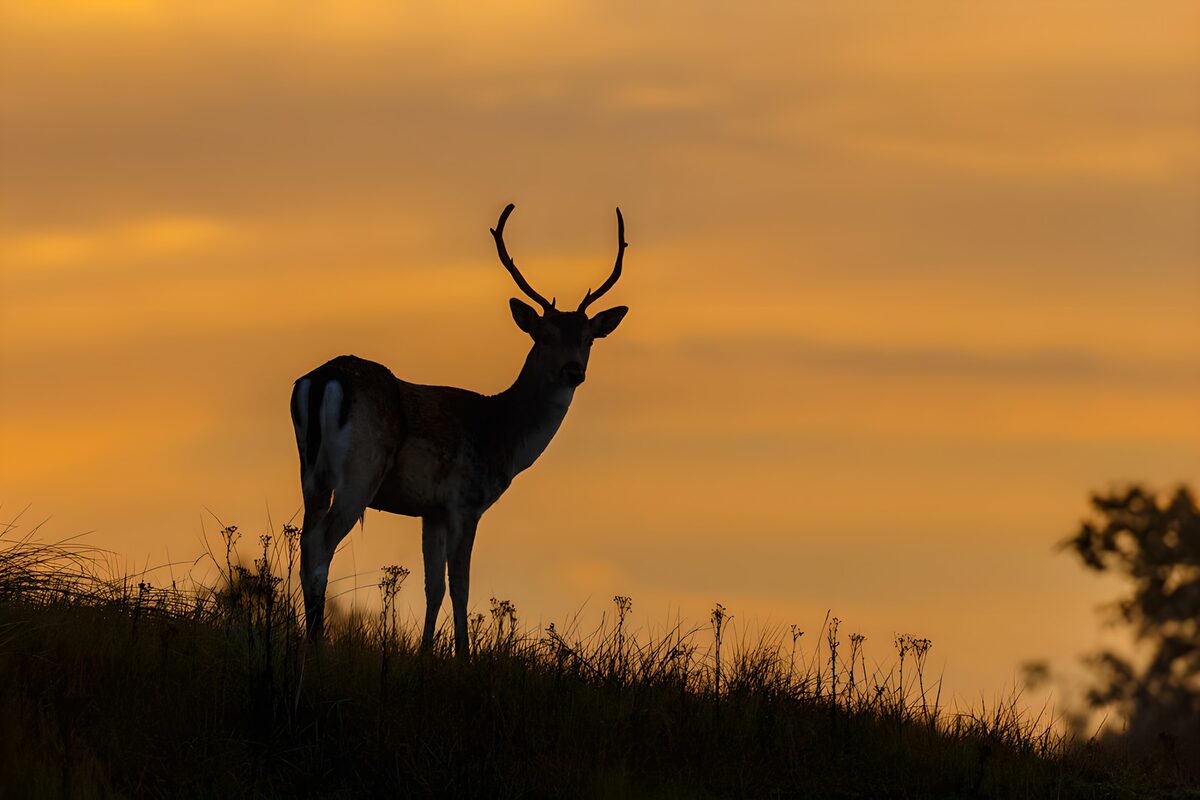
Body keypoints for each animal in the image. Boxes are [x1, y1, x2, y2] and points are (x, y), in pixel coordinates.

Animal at [289, 203, 629, 655]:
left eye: (589, 338)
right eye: (543, 335)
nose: (574, 370)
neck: (502, 436)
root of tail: (323, 378)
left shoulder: (430, 510)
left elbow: (432, 586)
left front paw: (425, 654)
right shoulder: (465, 502)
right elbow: (460, 586)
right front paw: (463, 657)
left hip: (311, 473)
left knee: (306, 542)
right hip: (360, 472)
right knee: (320, 545)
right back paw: (318, 643)